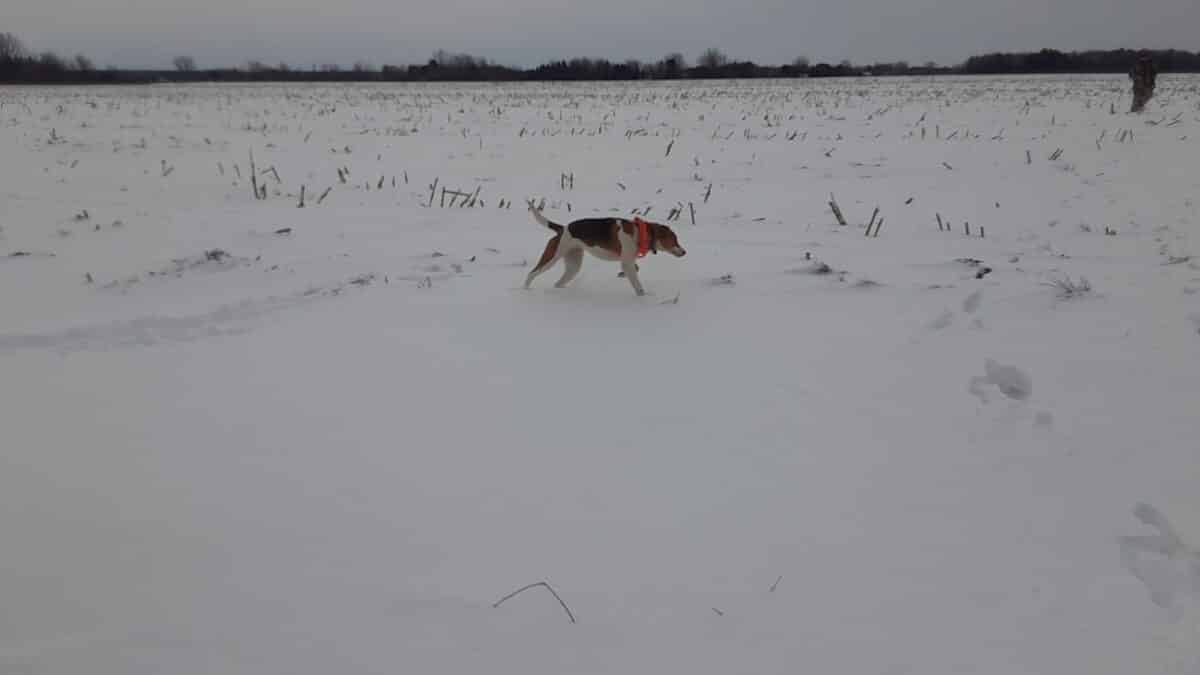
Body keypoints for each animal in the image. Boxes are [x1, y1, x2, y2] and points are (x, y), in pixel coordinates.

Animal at [523, 200, 686, 293]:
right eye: (674, 240)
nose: (684, 252)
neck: (640, 233)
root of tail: (563, 228)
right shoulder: (627, 262)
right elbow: (637, 283)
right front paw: (642, 295)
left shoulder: (628, 261)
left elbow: (634, 269)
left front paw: (622, 275)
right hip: (551, 257)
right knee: (531, 274)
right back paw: (526, 290)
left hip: (573, 264)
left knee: (559, 282)